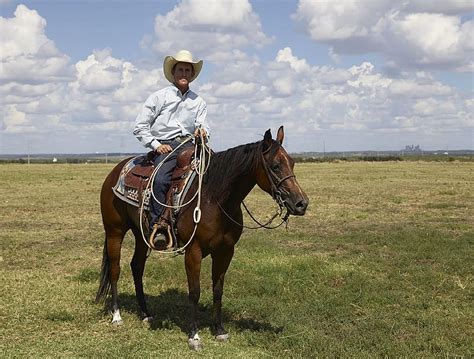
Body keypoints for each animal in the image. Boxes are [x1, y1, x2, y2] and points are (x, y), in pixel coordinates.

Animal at [96, 126, 312, 348]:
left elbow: (218, 290)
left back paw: (146, 314)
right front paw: (194, 335)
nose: (301, 203)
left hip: (141, 234)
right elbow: (195, 292)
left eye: (292, 162)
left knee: (137, 266)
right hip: (114, 231)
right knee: (115, 269)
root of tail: (116, 170)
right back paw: (117, 315)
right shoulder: (193, 251)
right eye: (276, 166)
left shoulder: (225, 251)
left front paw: (219, 330)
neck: (215, 198)